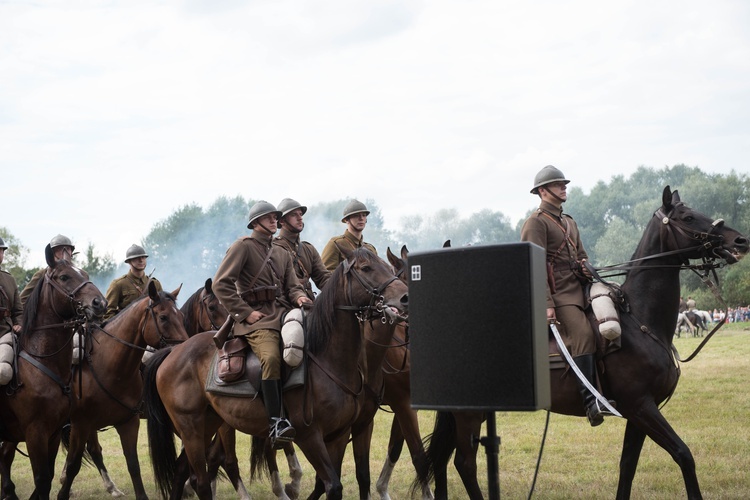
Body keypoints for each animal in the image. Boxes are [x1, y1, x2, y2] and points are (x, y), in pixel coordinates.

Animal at [0, 254, 107, 500]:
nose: (100, 303)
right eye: (64, 277)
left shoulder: (54, 433)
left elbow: (48, 476)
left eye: (85, 274)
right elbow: (41, 479)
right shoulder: (35, 433)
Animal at [56, 282, 189, 500]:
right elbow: (74, 463)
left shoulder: (128, 423)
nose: (184, 349)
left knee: (94, 450)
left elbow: (133, 464)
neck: (110, 367)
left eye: (181, 316)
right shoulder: (80, 424)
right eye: (163, 317)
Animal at [143, 247, 408, 500]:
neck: (327, 359)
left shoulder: (339, 435)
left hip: (208, 423)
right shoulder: (309, 436)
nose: (405, 297)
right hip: (191, 428)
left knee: (182, 472)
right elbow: (333, 486)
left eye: (386, 266)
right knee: (201, 480)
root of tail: (173, 351)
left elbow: (334, 482)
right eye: (366, 268)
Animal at [420, 186, 748, 498]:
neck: (641, 321)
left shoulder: (639, 412)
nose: (740, 241)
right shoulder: (642, 406)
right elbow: (684, 455)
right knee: (464, 463)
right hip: (468, 415)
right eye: (688, 217)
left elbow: (627, 465)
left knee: (444, 461)